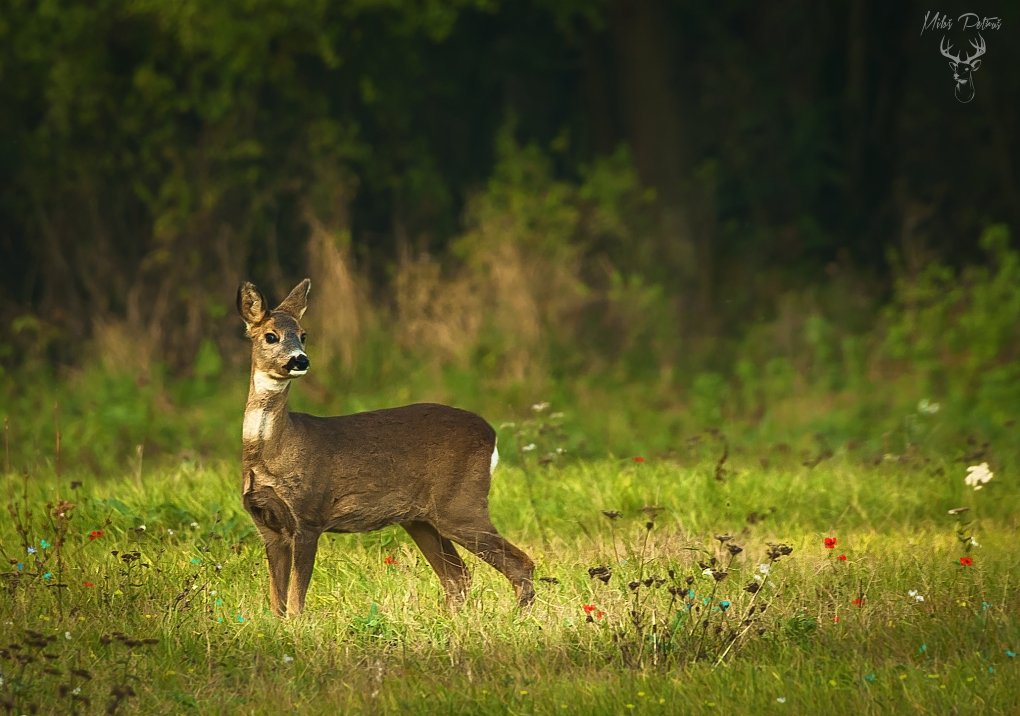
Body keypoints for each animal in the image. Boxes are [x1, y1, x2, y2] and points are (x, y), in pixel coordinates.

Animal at [235, 281, 538, 616]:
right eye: (270, 336)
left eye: (303, 335)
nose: (300, 360)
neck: (273, 451)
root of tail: (491, 433)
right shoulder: (267, 526)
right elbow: (277, 603)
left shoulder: (308, 515)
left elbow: (295, 602)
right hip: (421, 518)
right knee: (457, 575)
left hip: (460, 503)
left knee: (519, 563)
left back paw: (518, 619)